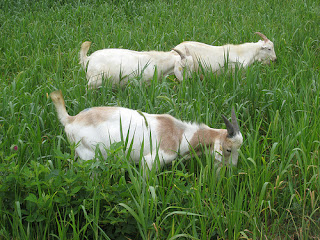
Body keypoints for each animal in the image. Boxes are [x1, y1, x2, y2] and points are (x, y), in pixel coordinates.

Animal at [49, 90, 242, 169]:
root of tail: (70, 119)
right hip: (89, 156)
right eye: (228, 149)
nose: (232, 169)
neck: (179, 134)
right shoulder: (150, 161)